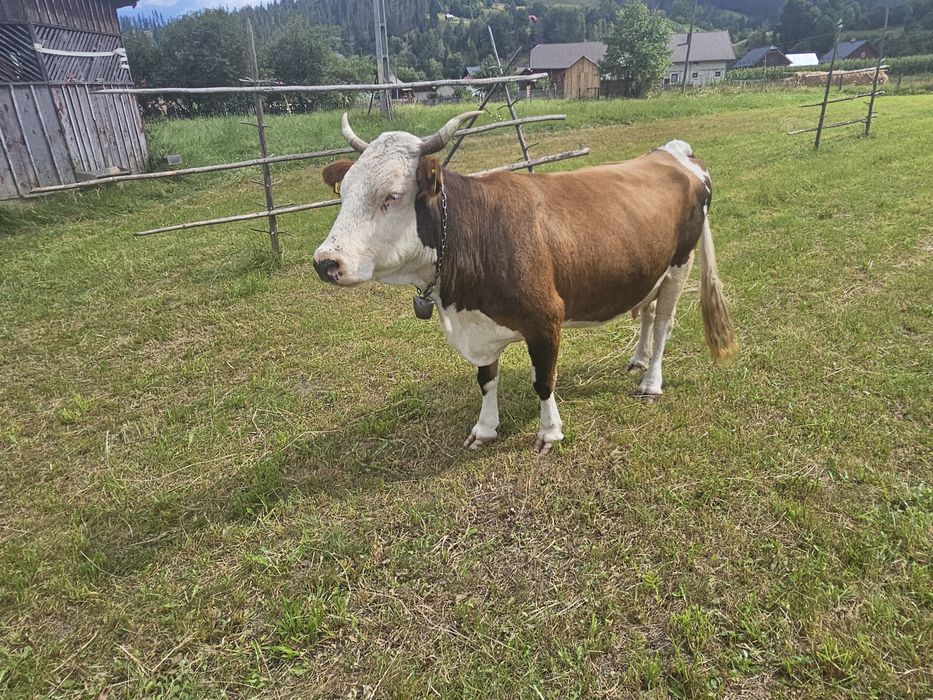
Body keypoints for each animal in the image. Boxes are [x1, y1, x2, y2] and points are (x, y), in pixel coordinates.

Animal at [313, 111, 737, 454]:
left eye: (392, 195)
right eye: (344, 193)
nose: (325, 262)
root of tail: (672, 152)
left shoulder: (547, 318)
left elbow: (544, 382)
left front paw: (550, 432)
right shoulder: (481, 326)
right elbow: (486, 379)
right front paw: (485, 428)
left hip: (680, 264)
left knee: (664, 322)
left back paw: (651, 382)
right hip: (649, 270)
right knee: (648, 313)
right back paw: (639, 358)